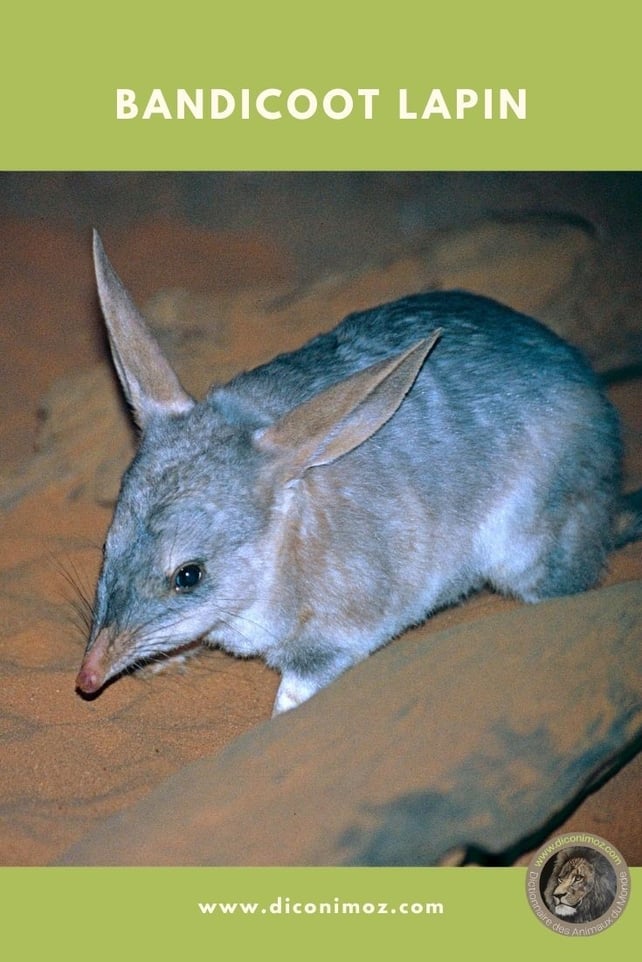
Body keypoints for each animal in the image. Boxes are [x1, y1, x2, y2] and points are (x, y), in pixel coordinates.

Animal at [76, 230, 642, 715]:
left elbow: (297, 690)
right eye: (106, 544)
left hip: (528, 549)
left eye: (189, 576)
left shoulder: (341, 630)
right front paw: (166, 659)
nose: (86, 678)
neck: (285, 546)